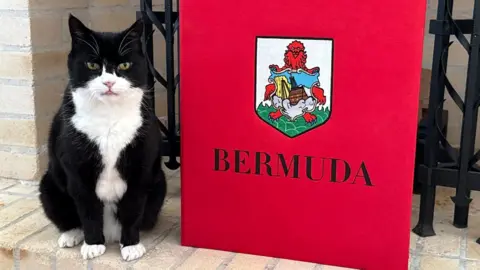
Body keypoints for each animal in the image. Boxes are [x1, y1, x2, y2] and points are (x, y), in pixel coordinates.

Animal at [38, 14, 168, 262]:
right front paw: (93, 244)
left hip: (159, 185)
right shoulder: (77, 169)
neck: (109, 115)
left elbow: (133, 208)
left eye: (124, 65)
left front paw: (131, 245)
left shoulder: (140, 166)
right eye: (92, 65)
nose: (109, 82)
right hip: (48, 185)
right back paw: (72, 235)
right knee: (66, 216)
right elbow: (88, 209)